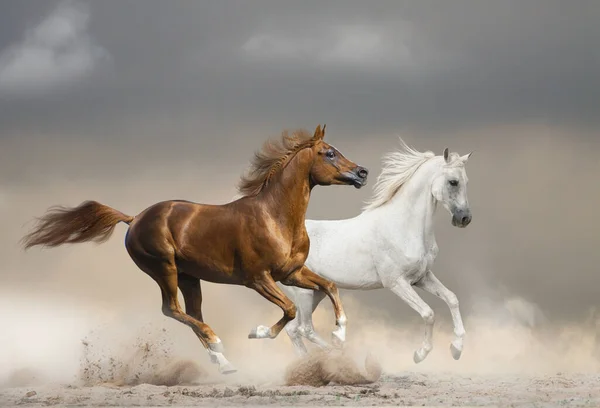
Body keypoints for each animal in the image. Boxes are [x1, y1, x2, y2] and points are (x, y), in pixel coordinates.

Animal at [21, 124, 368, 372]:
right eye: (329, 153)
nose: (362, 173)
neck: (275, 216)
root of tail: (134, 219)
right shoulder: (258, 279)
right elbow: (291, 309)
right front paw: (258, 332)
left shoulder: (291, 273)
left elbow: (330, 286)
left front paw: (339, 336)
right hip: (165, 269)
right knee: (172, 310)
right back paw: (218, 345)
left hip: (191, 277)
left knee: (191, 313)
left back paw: (224, 363)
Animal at [282, 141, 474, 364]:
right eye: (453, 182)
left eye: (466, 181)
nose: (464, 219)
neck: (403, 226)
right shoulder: (396, 283)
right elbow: (428, 313)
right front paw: (420, 354)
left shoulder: (422, 277)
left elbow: (452, 298)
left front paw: (456, 348)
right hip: (303, 294)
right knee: (305, 329)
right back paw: (340, 351)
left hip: (316, 293)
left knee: (293, 329)